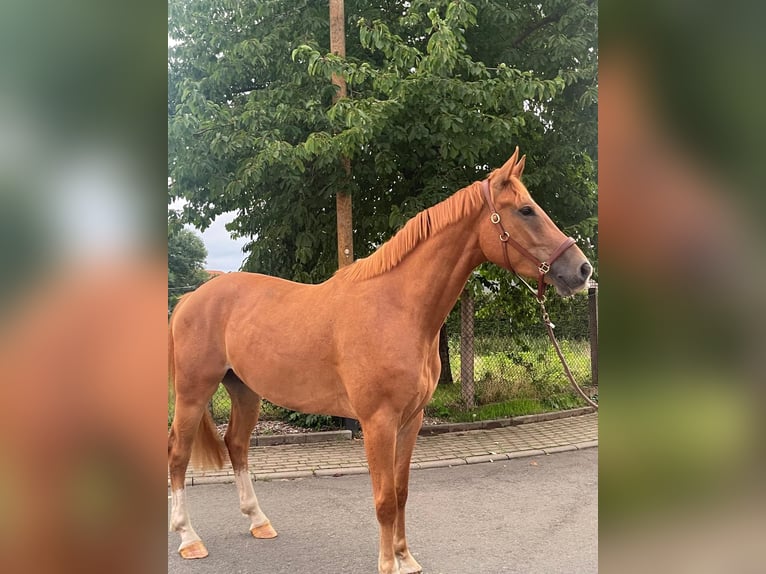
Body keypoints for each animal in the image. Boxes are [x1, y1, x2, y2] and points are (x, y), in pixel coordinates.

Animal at [167, 148, 593, 574]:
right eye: (526, 210)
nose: (582, 269)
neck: (397, 308)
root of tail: (190, 298)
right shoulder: (378, 422)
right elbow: (385, 499)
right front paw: (389, 564)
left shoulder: (411, 420)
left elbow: (401, 492)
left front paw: (406, 557)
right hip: (193, 394)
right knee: (178, 454)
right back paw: (189, 539)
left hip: (245, 391)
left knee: (236, 445)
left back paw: (258, 521)